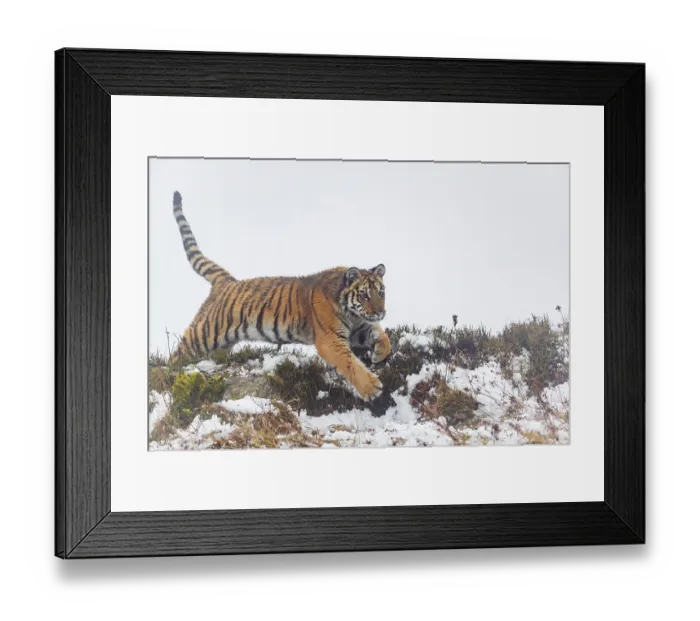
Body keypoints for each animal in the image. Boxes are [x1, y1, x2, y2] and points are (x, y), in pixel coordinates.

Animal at [168, 191, 391, 400]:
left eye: (380, 293)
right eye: (364, 295)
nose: (380, 312)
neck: (352, 313)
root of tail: (226, 281)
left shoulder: (361, 327)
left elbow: (383, 336)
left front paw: (379, 354)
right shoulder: (330, 339)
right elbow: (350, 363)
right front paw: (372, 388)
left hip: (221, 344)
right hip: (203, 335)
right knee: (177, 354)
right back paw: (168, 371)